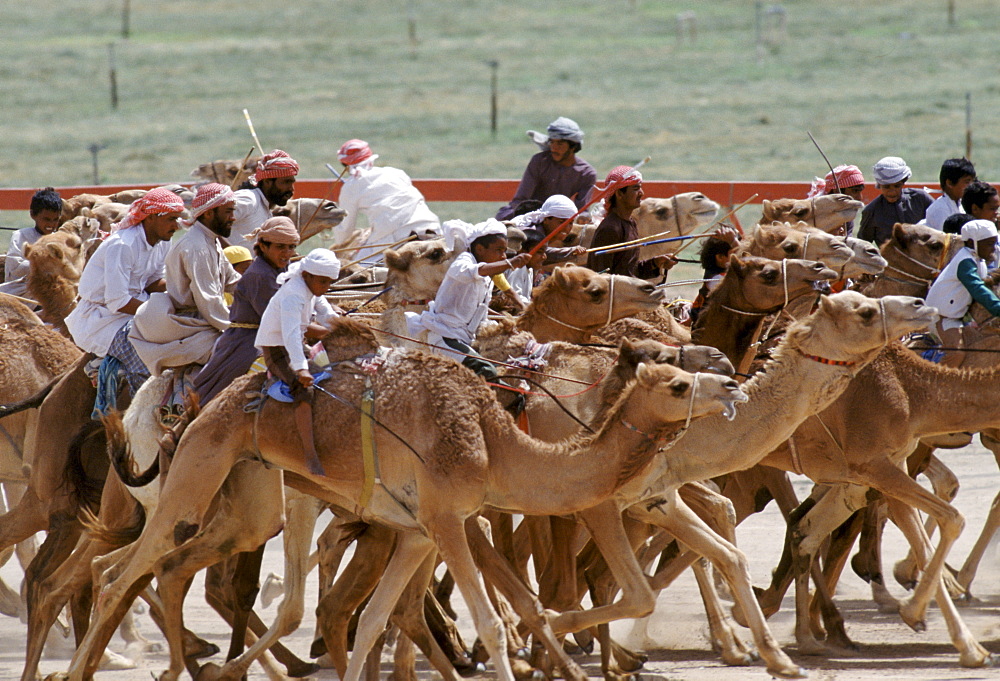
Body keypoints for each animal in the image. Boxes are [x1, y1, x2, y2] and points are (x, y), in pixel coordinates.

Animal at [52, 318, 744, 680]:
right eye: (677, 382)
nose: (731, 384)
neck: (495, 439)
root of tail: (196, 403)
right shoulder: (447, 516)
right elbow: (492, 625)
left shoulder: (415, 531)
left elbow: (372, 621)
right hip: (199, 470)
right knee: (120, 575)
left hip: (248, 494)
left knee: (156, 569)